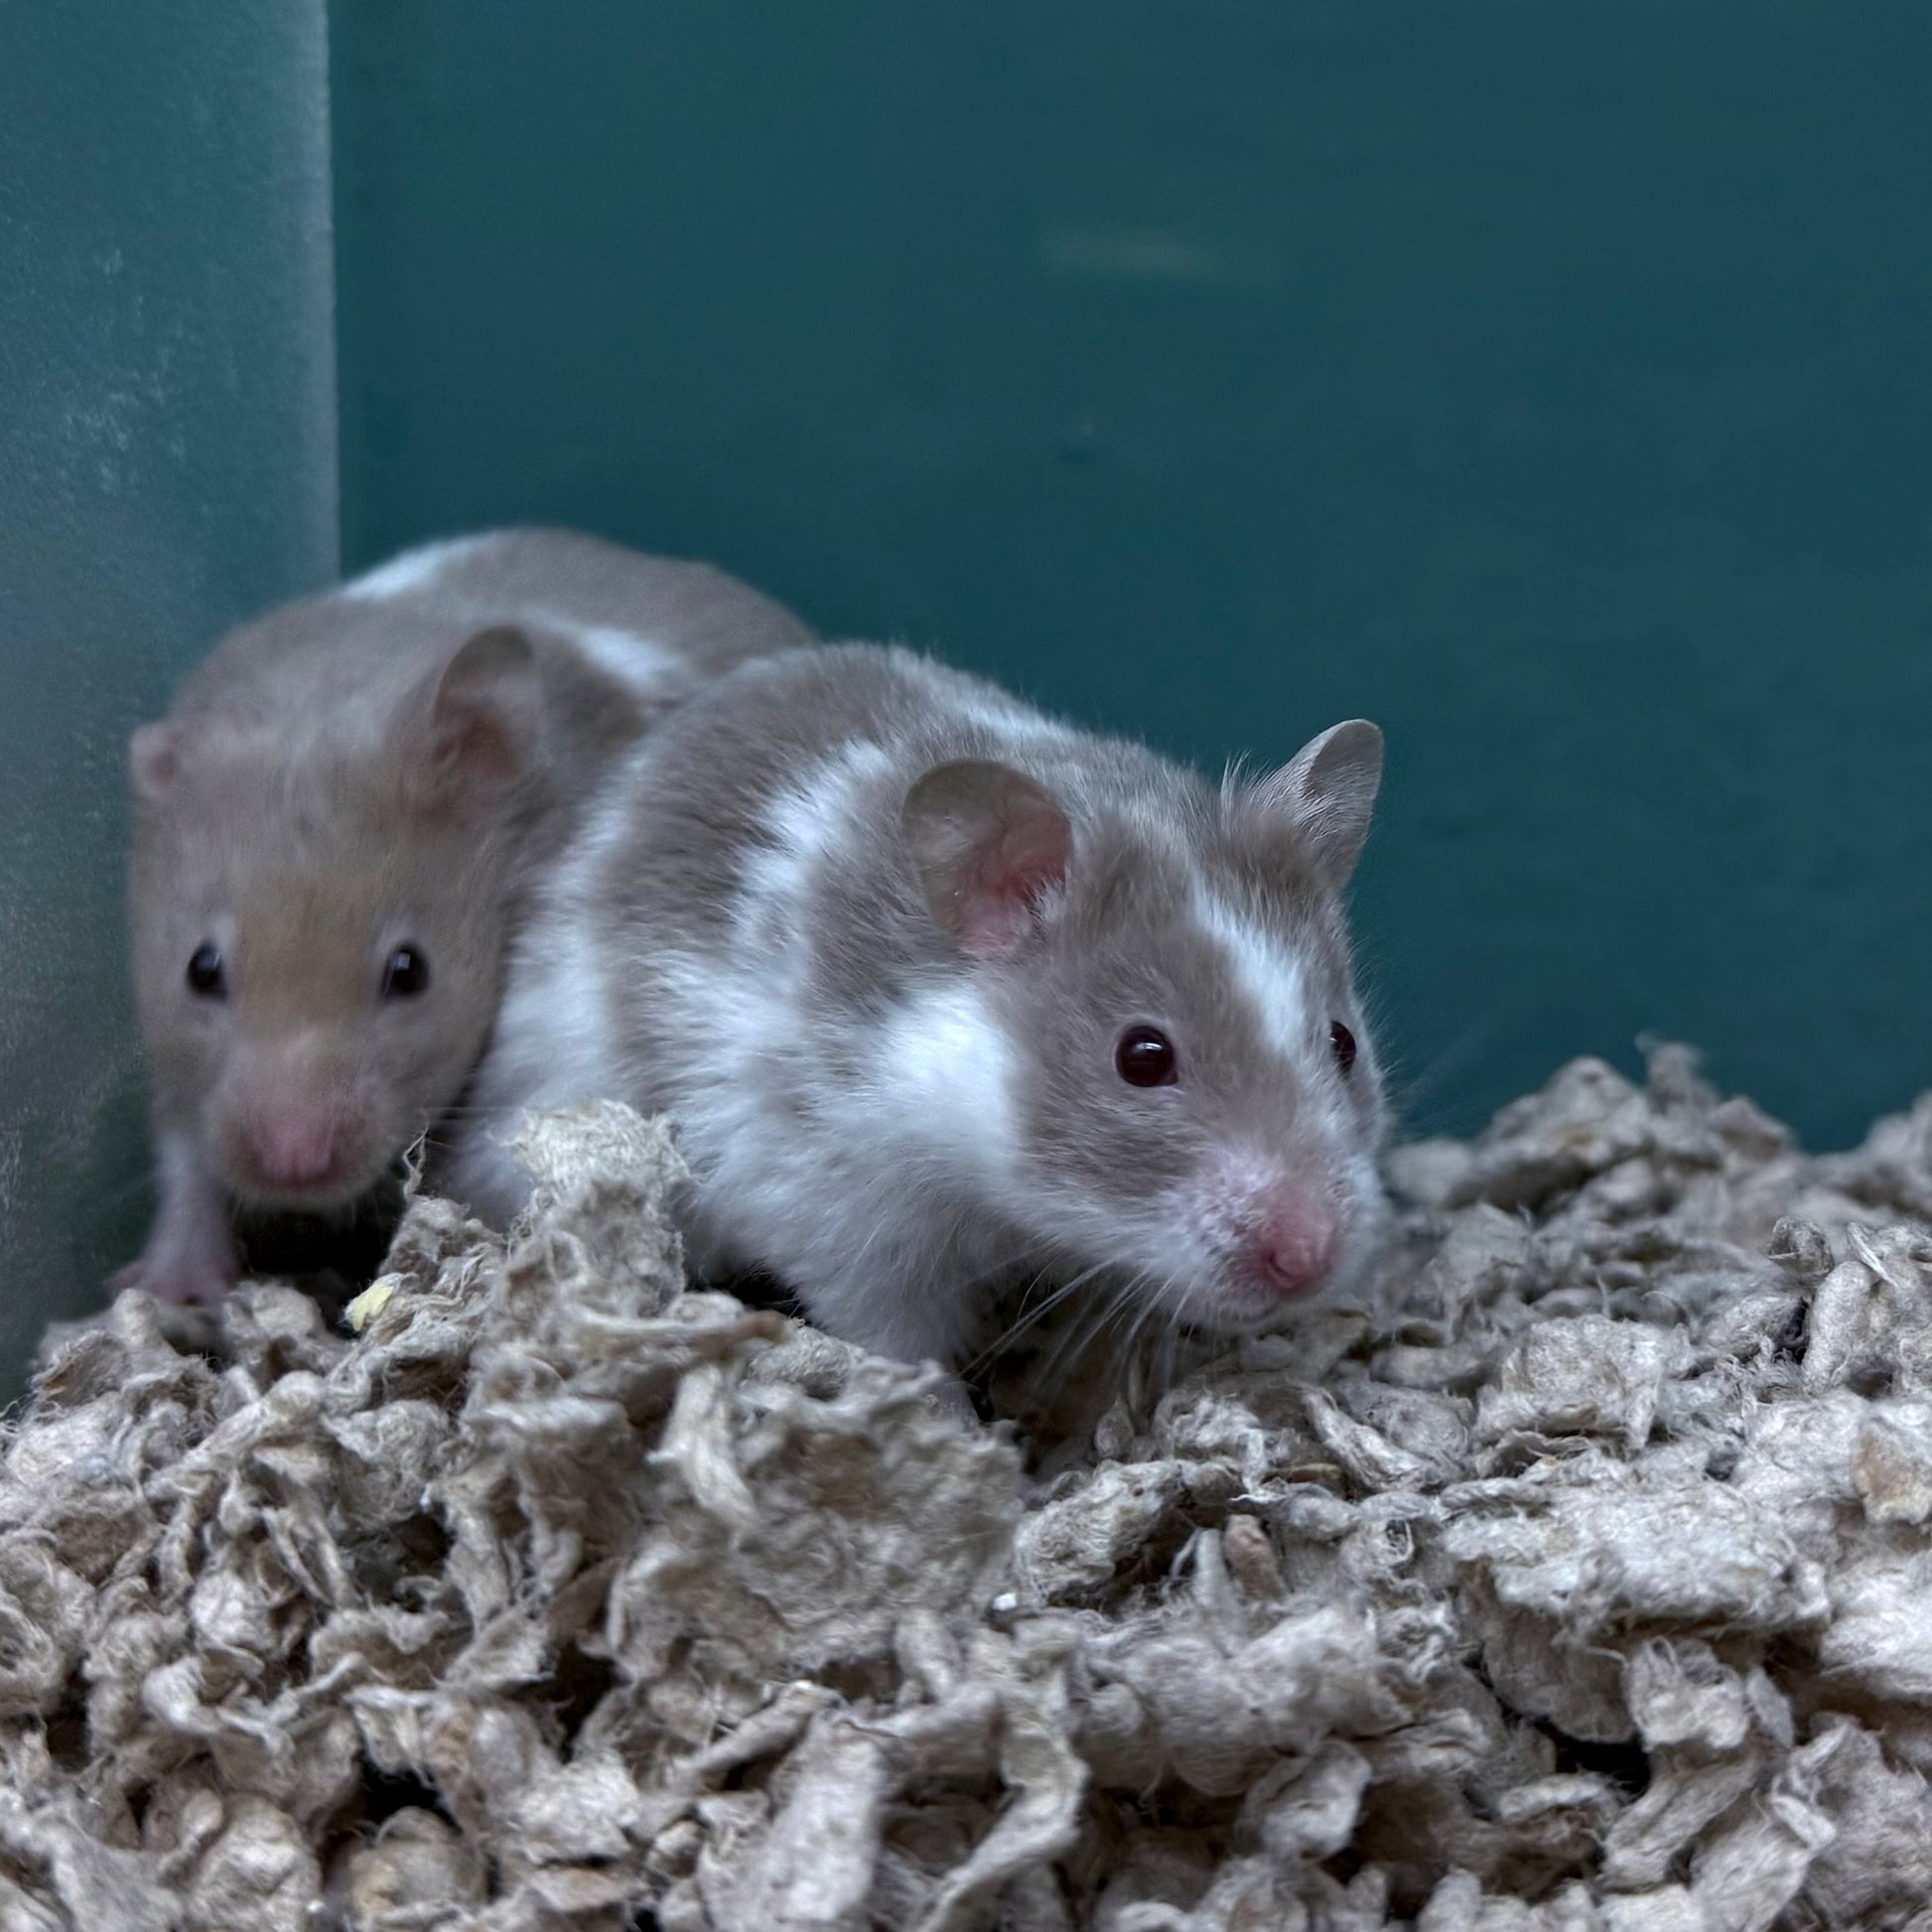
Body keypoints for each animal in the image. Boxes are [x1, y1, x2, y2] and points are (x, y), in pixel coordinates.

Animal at [121, 528, 814, 1305]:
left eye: (409, 971)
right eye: (200, 969)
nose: (294, 1165)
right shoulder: (181, 1077)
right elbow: (185, 1154)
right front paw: (173, 1288)